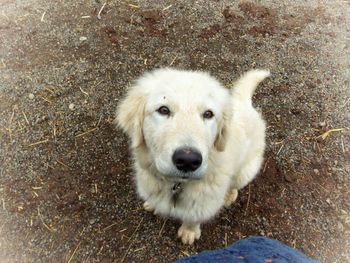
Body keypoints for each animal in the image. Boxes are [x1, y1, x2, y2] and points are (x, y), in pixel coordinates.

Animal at [116, 67, 270, 245]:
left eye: (208, 114)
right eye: (163, 110)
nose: (188, 161)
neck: (176, 185)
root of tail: (245, 104)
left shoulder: (202, 204)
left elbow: (192, 218)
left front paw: (189, 232)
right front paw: (153, 205)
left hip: (245, 171)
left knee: (235, 185)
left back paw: (229, 195)